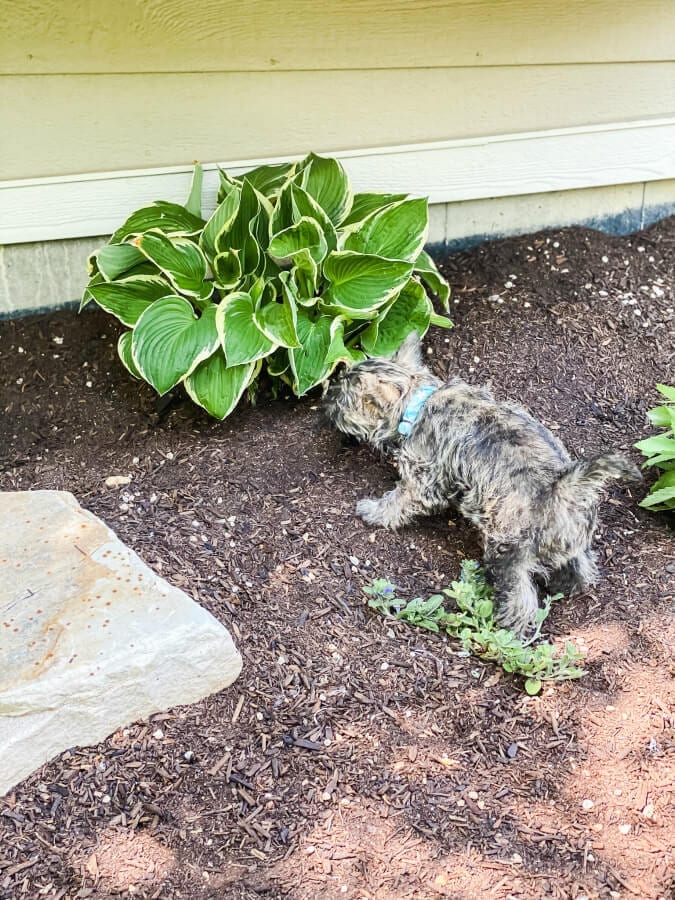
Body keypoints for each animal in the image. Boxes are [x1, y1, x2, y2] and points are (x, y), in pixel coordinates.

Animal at [324, 334, 640, 636]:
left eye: (340, 399)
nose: (324, 401)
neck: (419, 400)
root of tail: (563, 487)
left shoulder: (421, 482)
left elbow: (397, 501)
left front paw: (373, 511)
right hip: (571, 543)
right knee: (580, 567)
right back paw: (567, 585)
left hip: (507, 552)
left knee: (520, 598)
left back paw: (506, 627)